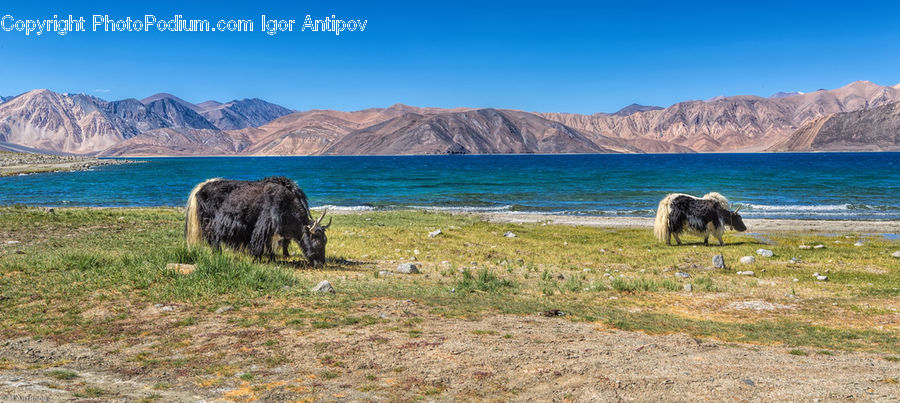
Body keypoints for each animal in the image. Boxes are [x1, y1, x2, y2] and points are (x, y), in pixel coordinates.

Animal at [184, 177, 331, 266]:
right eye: (316, 240)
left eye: (325, 241)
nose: (320, 263)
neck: (286, 204)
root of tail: (199, 189)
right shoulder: (264, 225)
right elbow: (260, 243)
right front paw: (257, 259)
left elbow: (270, 245)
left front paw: (272, 259)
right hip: (209, 222)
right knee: (212, 238)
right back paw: (217, 254)